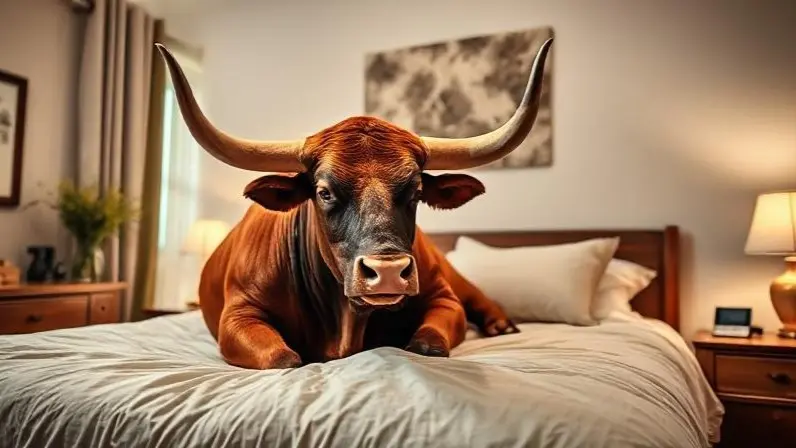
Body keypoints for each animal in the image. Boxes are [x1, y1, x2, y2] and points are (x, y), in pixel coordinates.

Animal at [155, 38, 553, 370]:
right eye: (324, 192)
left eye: (416, 191)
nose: (388, 271)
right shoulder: (238, 316)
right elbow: (284, 359)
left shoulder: (444, 299)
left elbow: (427, 346)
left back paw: (501, 324)